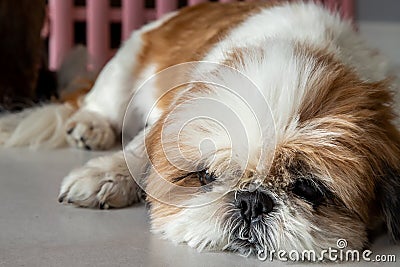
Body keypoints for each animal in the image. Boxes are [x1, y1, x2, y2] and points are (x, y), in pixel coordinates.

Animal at [0, 0, 400, 260]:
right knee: (101, 103)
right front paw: (106, 175)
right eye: (205, 176)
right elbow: (139, 149)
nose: (251, 201)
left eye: (308, 189)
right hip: (127, 63)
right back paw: (92, 125)